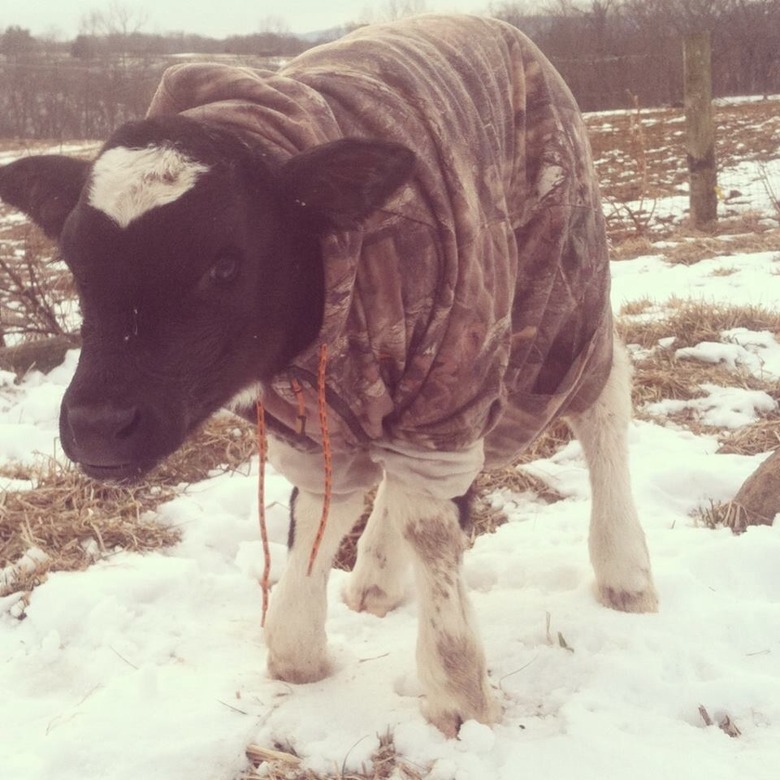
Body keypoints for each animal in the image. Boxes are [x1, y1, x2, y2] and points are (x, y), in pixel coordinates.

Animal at [0, 15, 660, 736]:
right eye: (75, 262)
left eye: (224, 265)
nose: (98, 426)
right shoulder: (311, 413)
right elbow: (322, 504)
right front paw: (300, 647)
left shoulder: (454, 369)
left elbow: (431, 523)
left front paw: (457, 688)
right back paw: (375, 576)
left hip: (556, 288)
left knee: (601, 394)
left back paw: (625, 569)